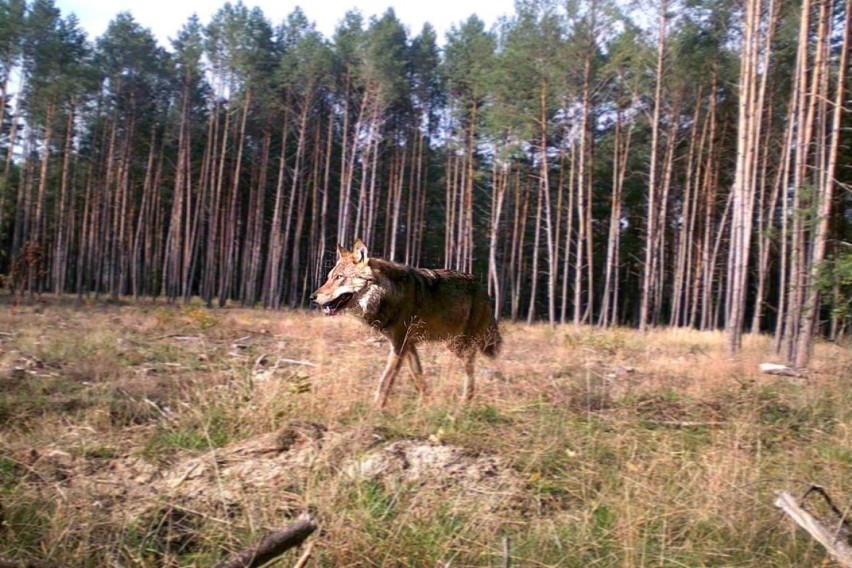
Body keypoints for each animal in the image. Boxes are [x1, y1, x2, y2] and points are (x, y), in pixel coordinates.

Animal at [312, 240, 500, 408]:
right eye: (328, 278)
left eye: (339, 278)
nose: (312, 297)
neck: (388, 294)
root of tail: (483, 287)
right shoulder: (407, 345)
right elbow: (417, 376)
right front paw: (426, 402)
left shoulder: (399, 344)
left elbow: (386, 380)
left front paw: (376, 409)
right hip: (453, 343)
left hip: (458, 343)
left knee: (471, 364)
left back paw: (466, 400)